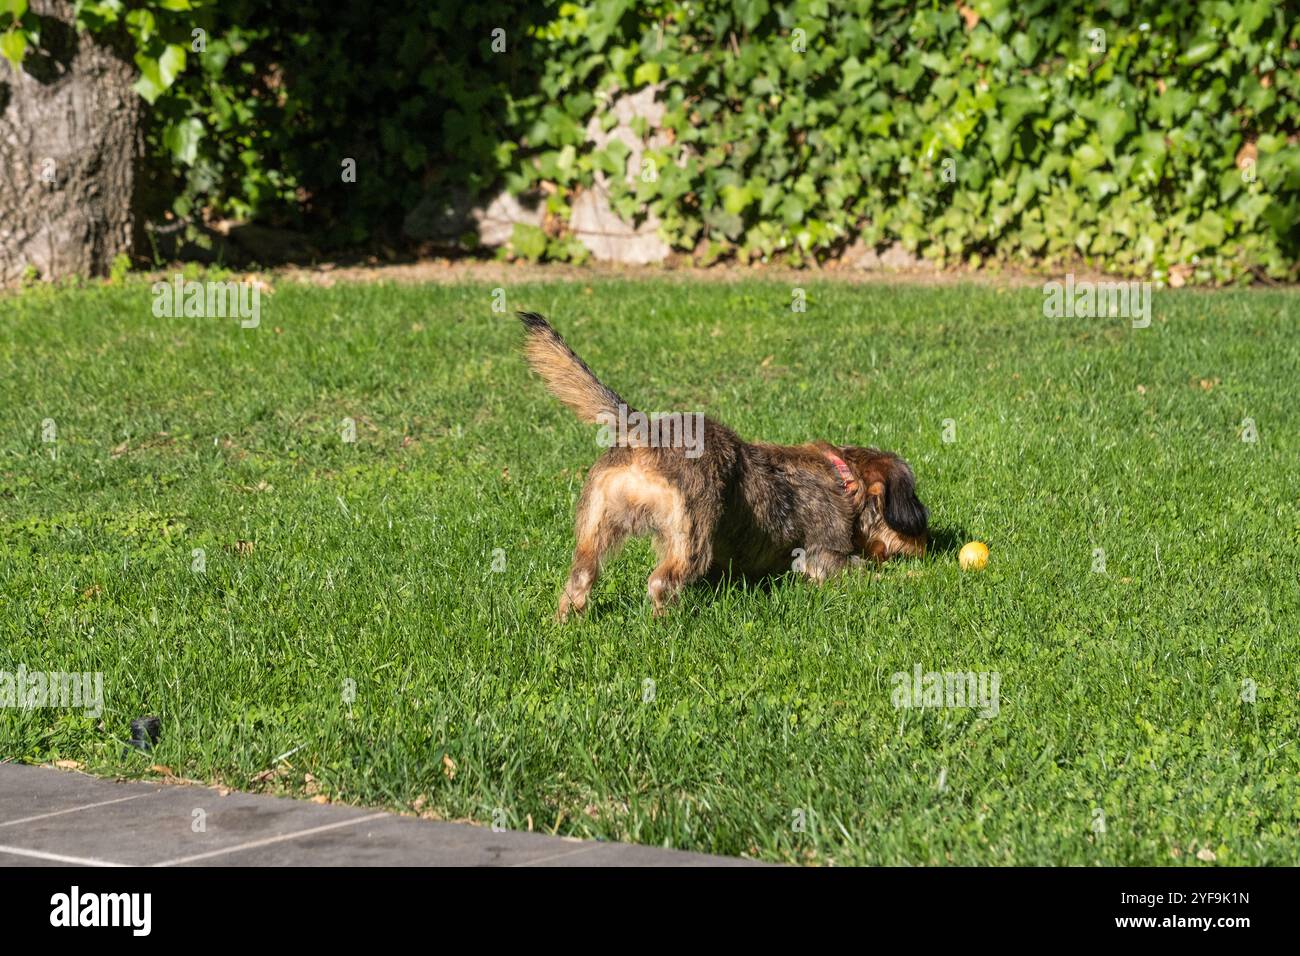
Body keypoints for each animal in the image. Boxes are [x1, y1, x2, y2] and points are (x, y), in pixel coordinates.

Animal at [522, 310, 930, 616]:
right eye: (914, 504)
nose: (926, 546)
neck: (844, 477)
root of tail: (645, 431)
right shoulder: (823, 556)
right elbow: (864, 570)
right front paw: (911, 578)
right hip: (691, 536)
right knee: (661, 582)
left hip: (597, 526)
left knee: (581, 576)